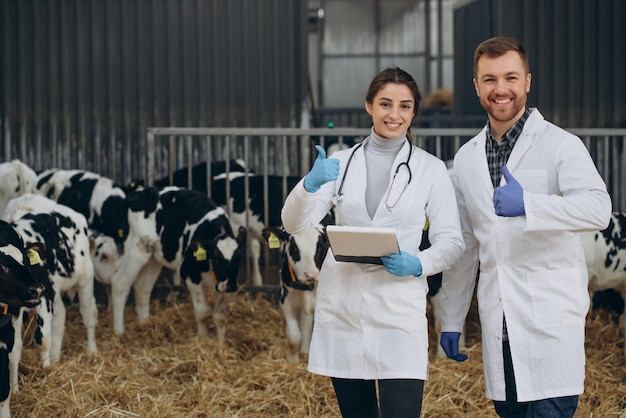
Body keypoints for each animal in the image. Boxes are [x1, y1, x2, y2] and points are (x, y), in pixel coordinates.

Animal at [2, 193, 98, 370]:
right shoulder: (15, 307)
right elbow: (14, 350)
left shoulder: (44, 295)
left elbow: (43, 338)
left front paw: (46, 369)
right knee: (60, 318)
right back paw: (55, 357)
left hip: (85, 278)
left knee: (89, 315)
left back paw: (92, 351)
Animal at [89, 186, 245, 340]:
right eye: (216, 258)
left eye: (238, 258)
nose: (230, 286)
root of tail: (138, 193)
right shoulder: (188, 273)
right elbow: (202, 312)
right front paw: (202, 339)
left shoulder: (224, 283)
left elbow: (220, 316)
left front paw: (220, 342)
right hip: (136, 249)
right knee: (120, 284)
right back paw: (119, 331)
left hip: (153, 257)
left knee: (143, 287)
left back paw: (145, 324)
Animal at [260, 225, 330, 362]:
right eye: (293, 248)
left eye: (320, 247)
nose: (311, 274)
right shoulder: (285, 299)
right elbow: (294, 337)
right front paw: (293, 362)